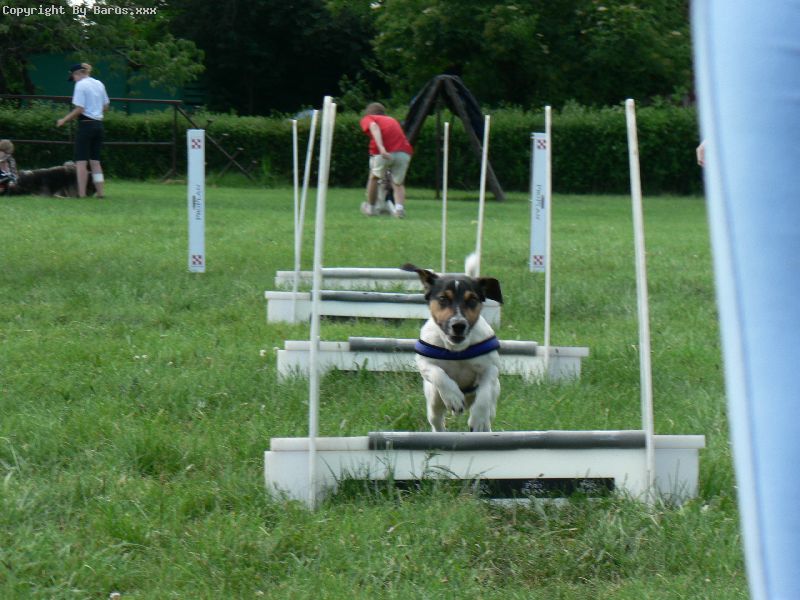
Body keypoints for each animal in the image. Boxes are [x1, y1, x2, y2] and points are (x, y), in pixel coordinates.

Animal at [402, 254, 504, 432]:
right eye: (443, 298)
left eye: (472, 300)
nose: (458, 325)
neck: (456, 350)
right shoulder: (424, 363)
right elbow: (438, 373)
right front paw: (454, 397)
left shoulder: (491, 367)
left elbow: (485, 392)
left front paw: (478, 419)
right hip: (434, 401)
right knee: (437, 422)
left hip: (494, 398)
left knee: (489, 409)